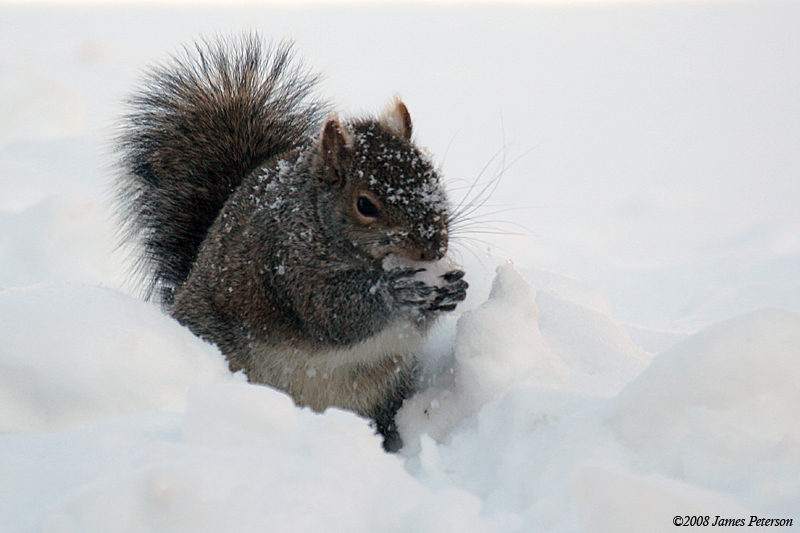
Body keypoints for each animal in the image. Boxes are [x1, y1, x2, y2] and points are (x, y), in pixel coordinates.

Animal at [119, 34, 468, 448]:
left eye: (434, 179)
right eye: (365, 205)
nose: (434, 249)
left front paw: (454, 288)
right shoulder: (286, 262)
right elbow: (331, 312)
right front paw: (396, 290)